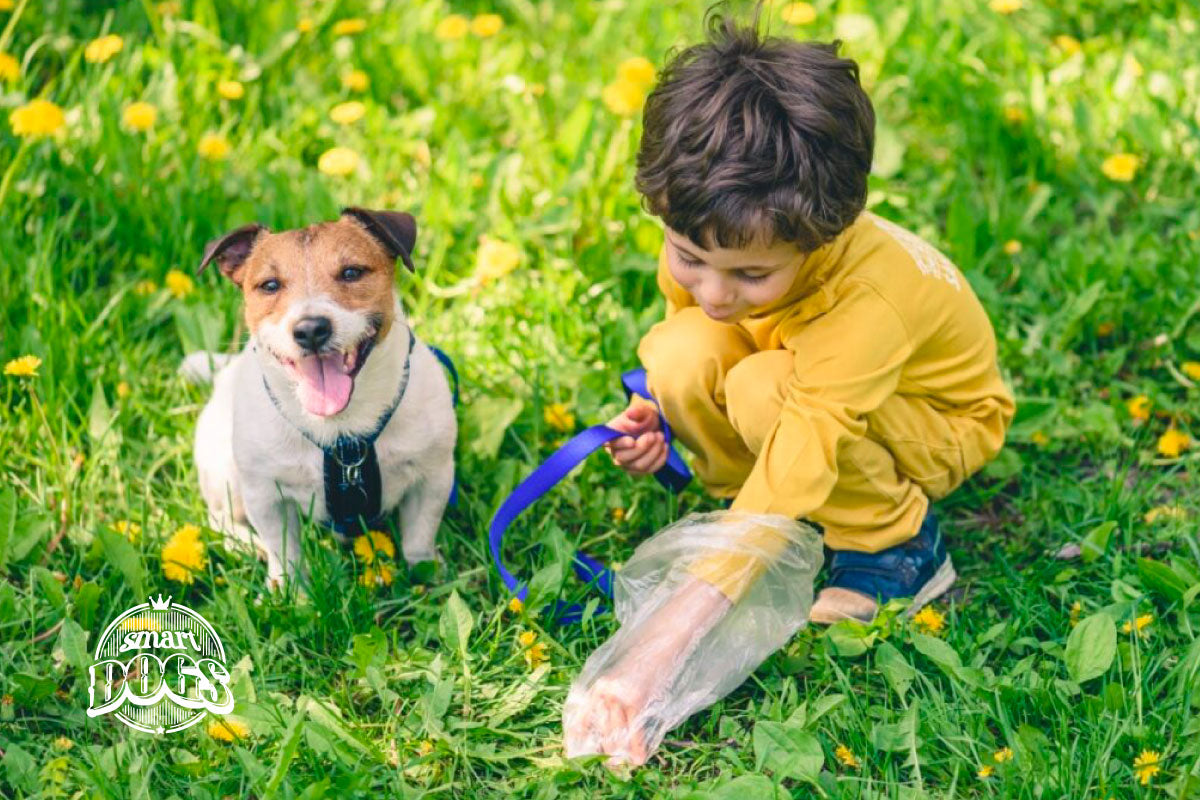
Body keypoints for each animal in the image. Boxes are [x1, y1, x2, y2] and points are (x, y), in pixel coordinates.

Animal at [180, 206, 456, 587]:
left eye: (352, 272)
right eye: (270, 285)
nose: (311, 329)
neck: (341, 430)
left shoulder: (432, 477)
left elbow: (419, 535)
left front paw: (427, 576)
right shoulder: (267, 496)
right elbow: (284, 552)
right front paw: (289, 590)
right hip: (223, 470)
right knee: (220, 518)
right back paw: (246, 544)